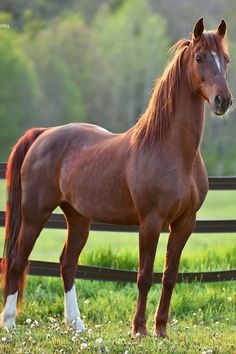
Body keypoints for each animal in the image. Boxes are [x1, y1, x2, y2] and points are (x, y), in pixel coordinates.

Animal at [0, 18, 232, 338]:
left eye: (226, 59)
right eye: (199, 58)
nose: (223, 101)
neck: (172, 151)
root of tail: (44, 133)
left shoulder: (185, 223)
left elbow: (170, 276)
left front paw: (161, 330)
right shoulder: (150, 222)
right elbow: (145, 275)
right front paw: (139, 330)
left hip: (78, 218)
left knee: (67, 264)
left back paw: (76, 324)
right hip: (35, 213)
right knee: (17, 260)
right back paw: (10, 321)